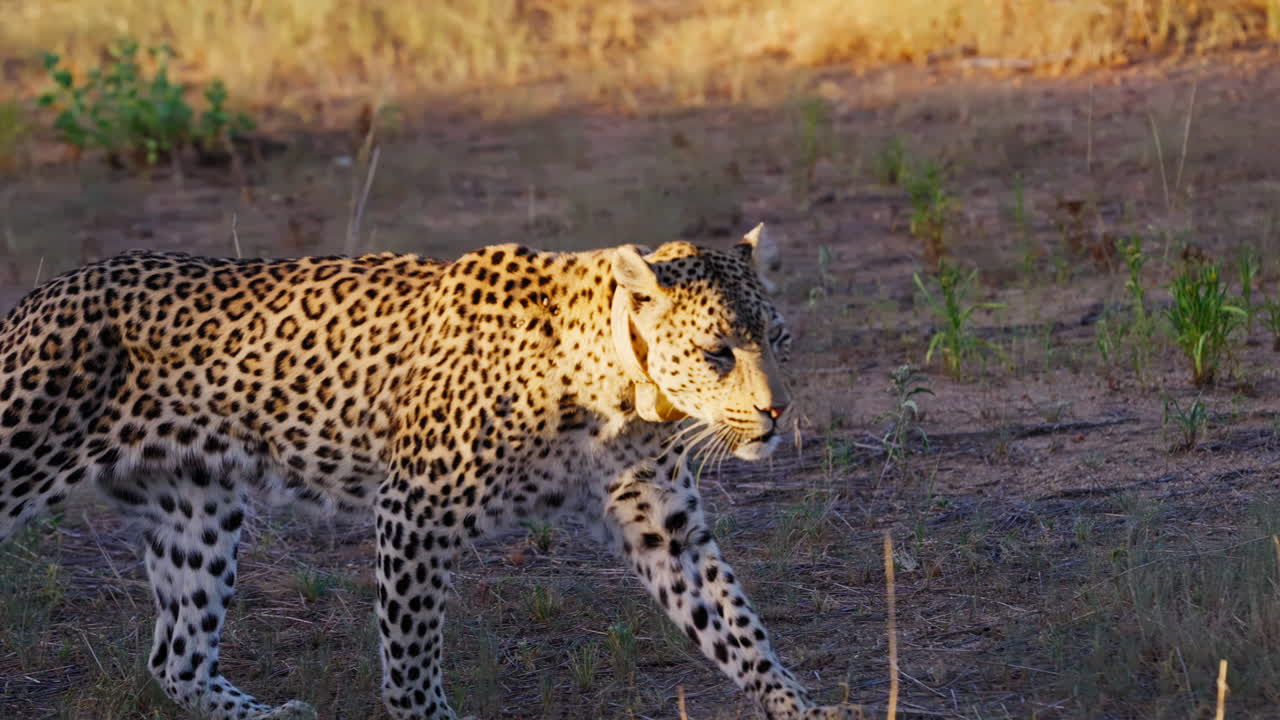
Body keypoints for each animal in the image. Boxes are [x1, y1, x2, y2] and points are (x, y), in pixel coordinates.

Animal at [0, 223, 862, 720]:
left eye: (777, 340)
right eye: (718, 351)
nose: (779, 414)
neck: (624, 391)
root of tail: (41, 296)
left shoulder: (663, 523)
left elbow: (739, 627)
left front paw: (800, 707)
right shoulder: (415, 510)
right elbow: (410, 659)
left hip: (196, 511)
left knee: (174, 659)